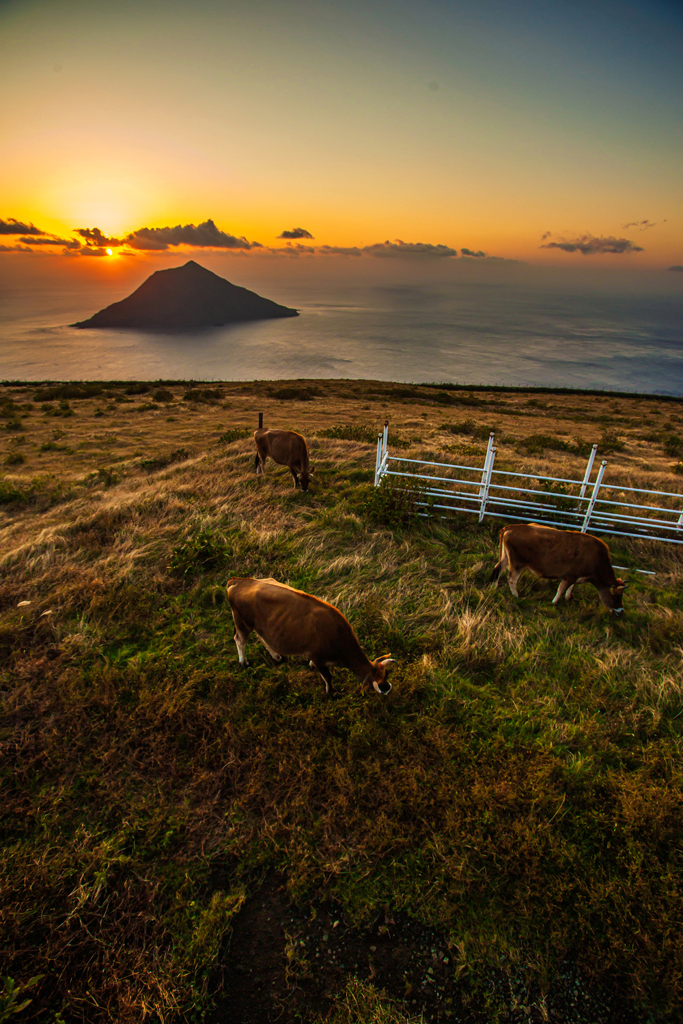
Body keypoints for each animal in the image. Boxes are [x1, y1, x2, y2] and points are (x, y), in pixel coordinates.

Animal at [227, 577, 395, 696]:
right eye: (378, 682)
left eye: (386, 674)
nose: (388, 688)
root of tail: (238, 580)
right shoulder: (317, 657)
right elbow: (328, 677)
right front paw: (331, 692)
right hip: (242, 621)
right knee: (240, 640)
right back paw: (243, 662)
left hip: (259, 624)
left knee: (262, 637)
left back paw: (276, 657)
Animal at [489, 520, 626, 614]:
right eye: (617, 596)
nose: (621, 611)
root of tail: (512, 527)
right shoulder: (570, 576)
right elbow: (562, 589)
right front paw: (554, 602)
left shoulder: (576, 577)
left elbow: (570, 588)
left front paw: (568, 598)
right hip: (518, 564)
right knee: (511, 578)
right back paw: (516, 595)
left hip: (505, 557)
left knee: (498, 569)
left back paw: (494, 586)